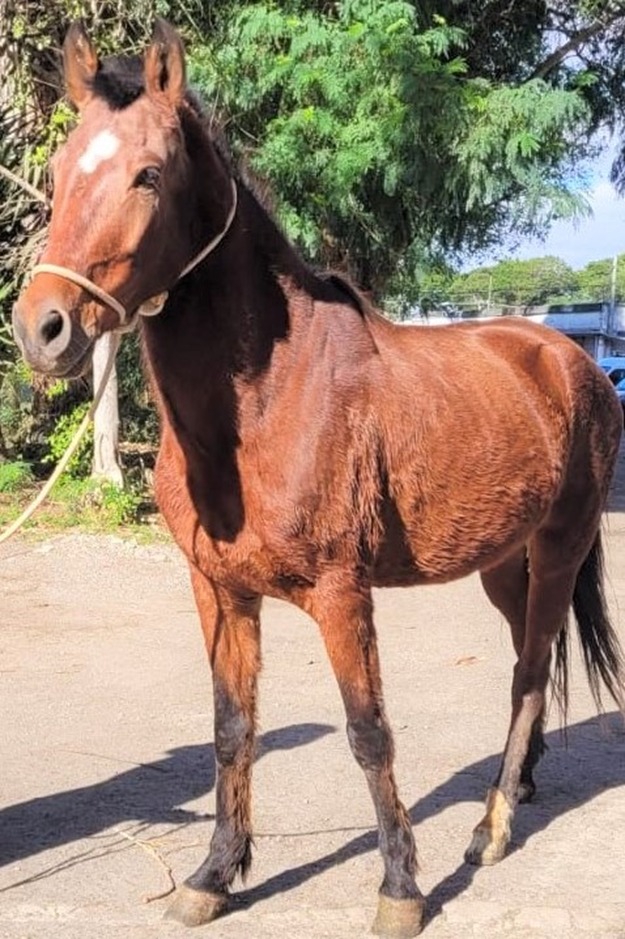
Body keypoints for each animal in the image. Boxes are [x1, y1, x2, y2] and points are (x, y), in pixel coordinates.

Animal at [9, 22, 624, 939]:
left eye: (148, 173)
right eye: (56, 172)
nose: (41, 329)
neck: (270, 401)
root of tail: (569, 358)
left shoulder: (340, 592)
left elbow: (368, 733)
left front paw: (400, 887)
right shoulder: (218, 588)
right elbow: (232, 729)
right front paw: (213, 874)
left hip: (559, 546)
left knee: (525, 672)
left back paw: (490, 826)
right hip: (499, 562)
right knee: (530, 652)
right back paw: (517, 783)